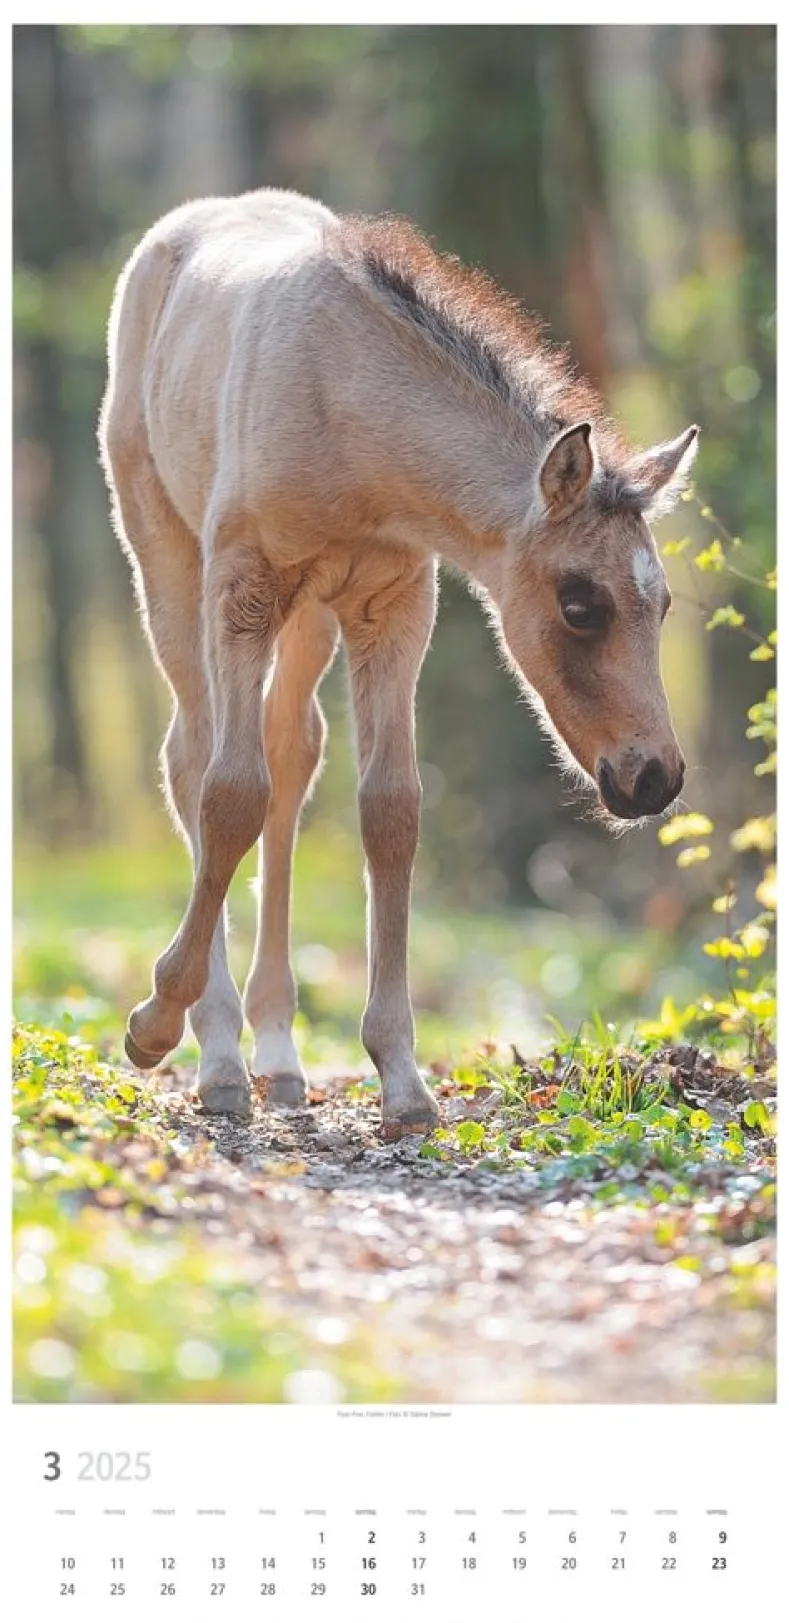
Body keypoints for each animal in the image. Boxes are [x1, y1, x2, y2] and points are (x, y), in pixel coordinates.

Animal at [99, 187, 697, 1138]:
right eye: (579, 603)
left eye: (663, 603)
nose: (653, 778)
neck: (346, 412)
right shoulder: (241, 586)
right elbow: (229, 794)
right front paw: (154, 1024)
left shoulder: (396, 604)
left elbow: (390, 810)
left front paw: (403, 1079)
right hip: (164, 553)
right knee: (193, 757)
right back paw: (221, 1053)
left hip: (310, 617)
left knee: (292, 752)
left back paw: (278, 1053)